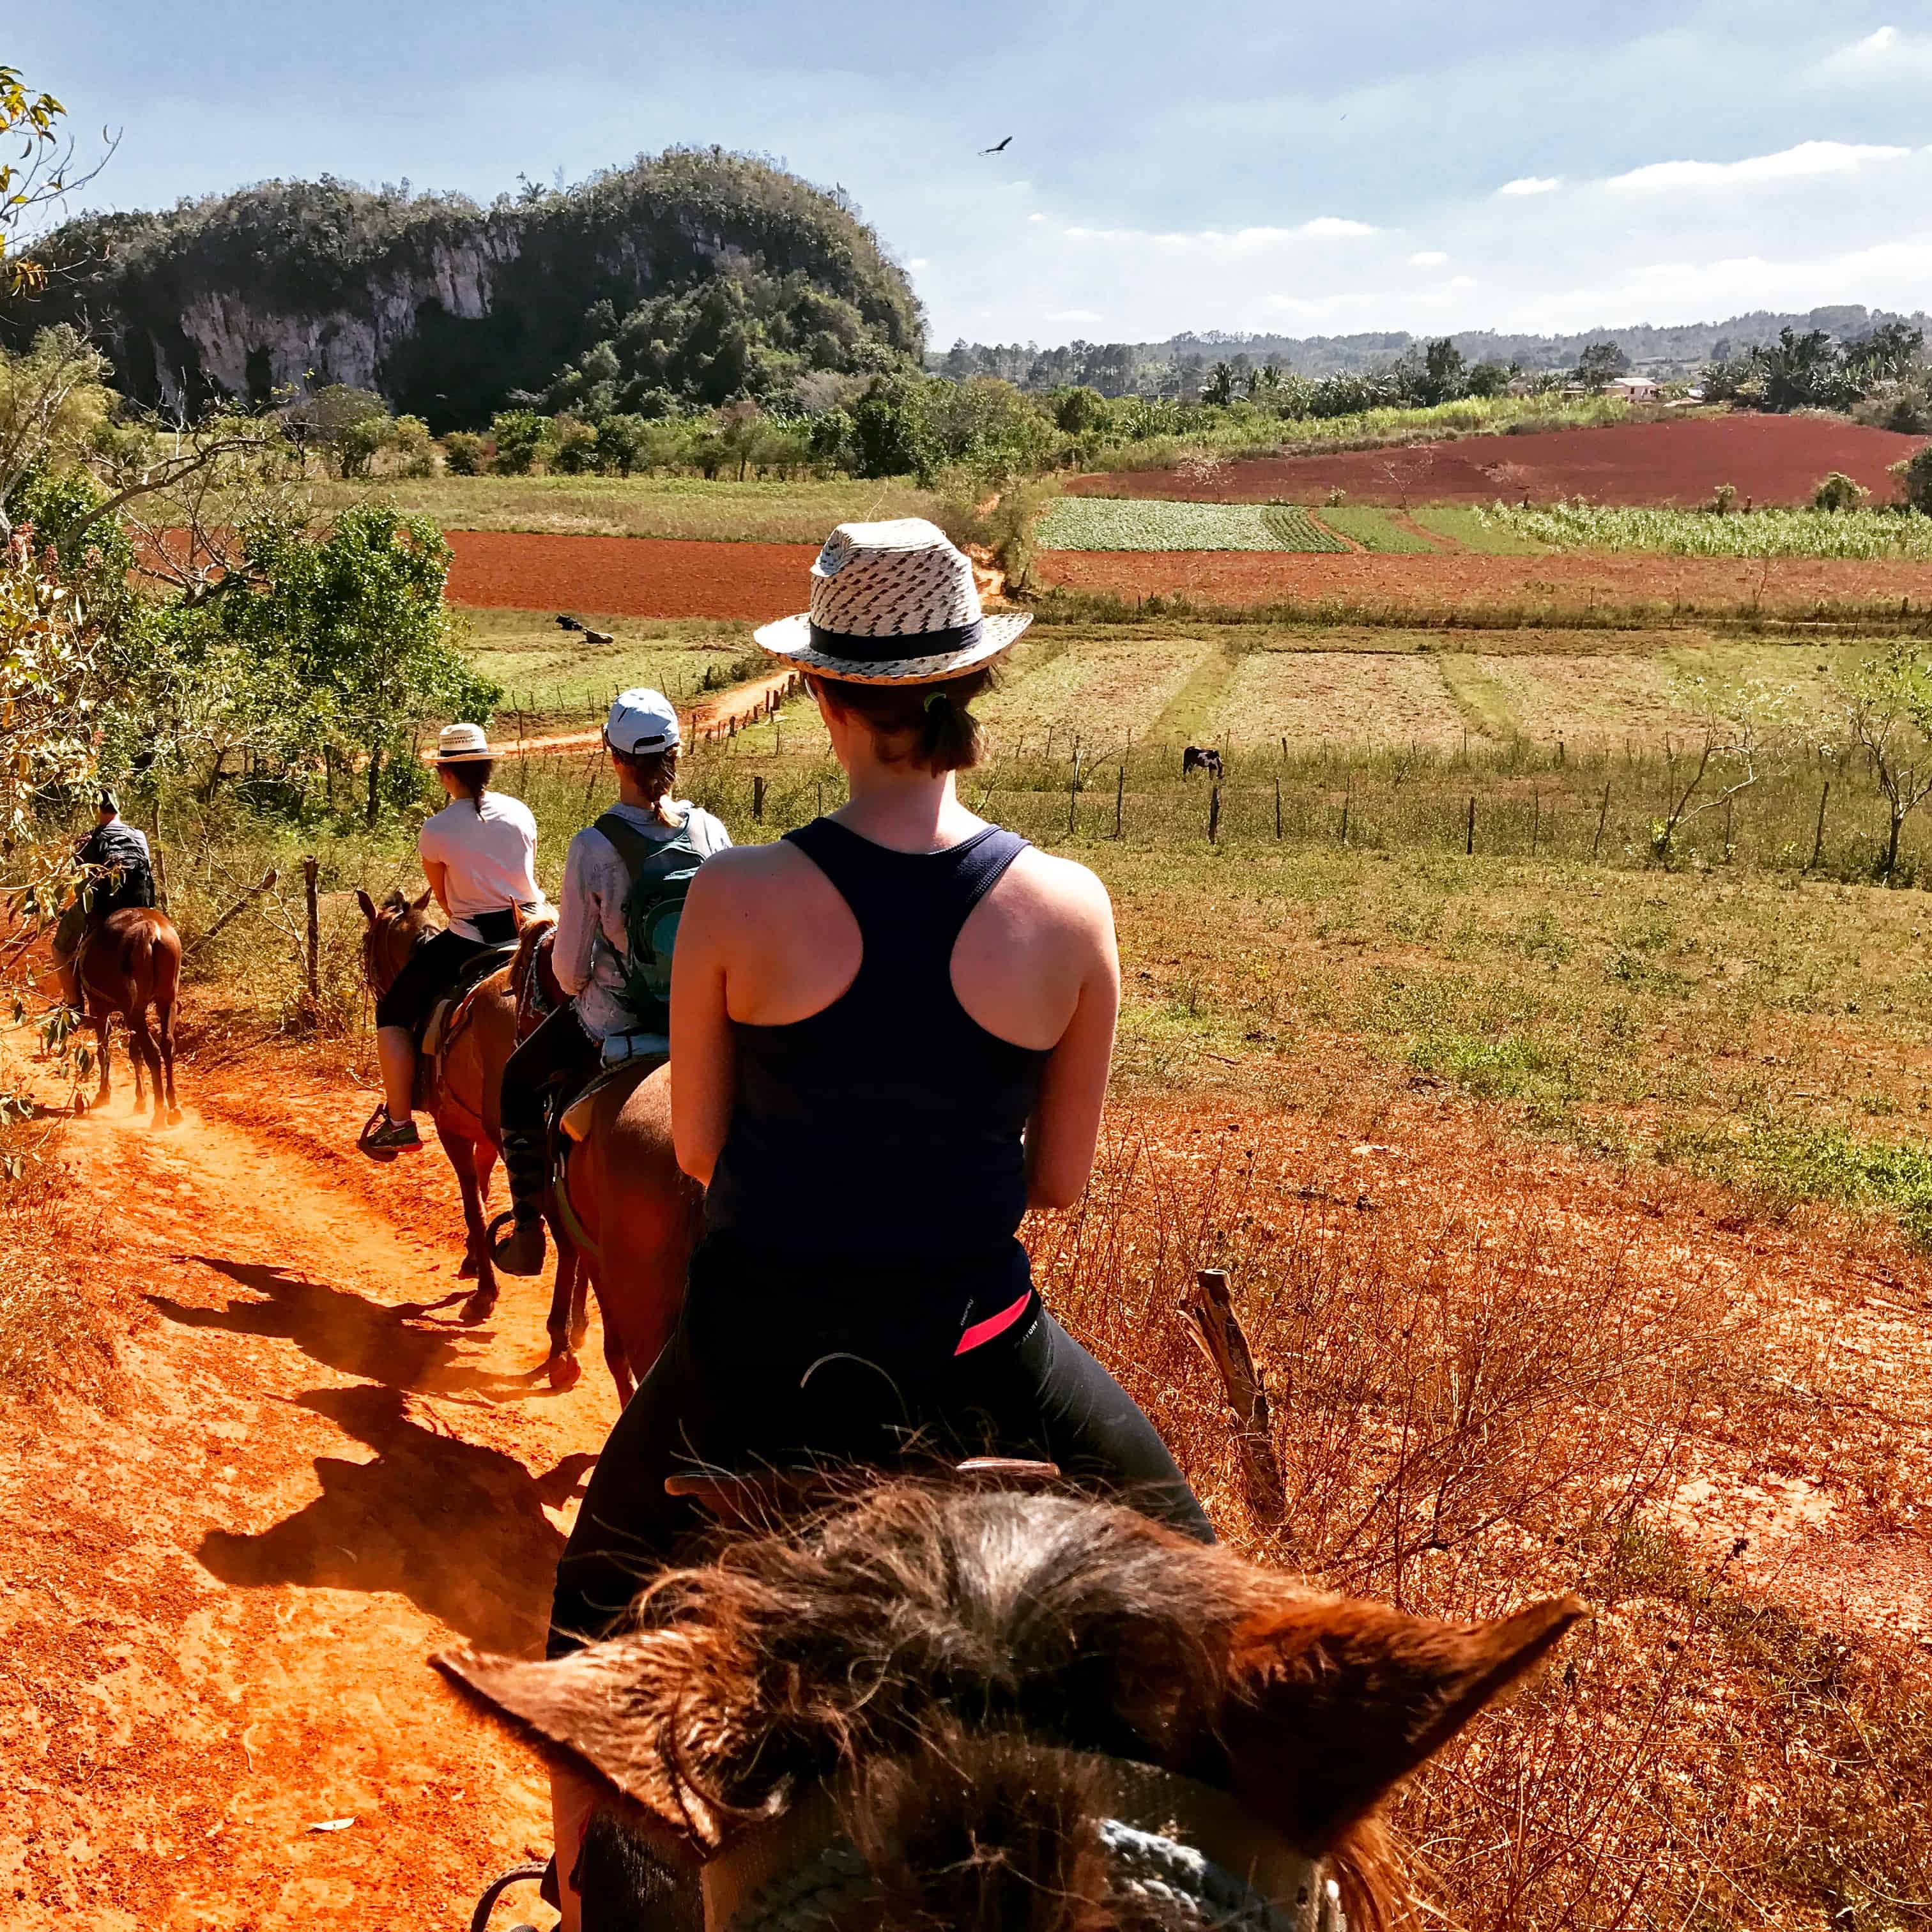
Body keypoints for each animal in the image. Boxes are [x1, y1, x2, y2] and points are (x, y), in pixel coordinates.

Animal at [74, 908, 181, 1128]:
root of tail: (150, 931)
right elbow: (134, 1053)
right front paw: (140, 1099)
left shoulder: (99, 1009)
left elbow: (104, 1051)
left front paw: (104, 1093)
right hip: (166, 1000)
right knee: (167, 1046)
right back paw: (174, 1107)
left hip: (134, 1010)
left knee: (152, 1053)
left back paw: (160, 1111)